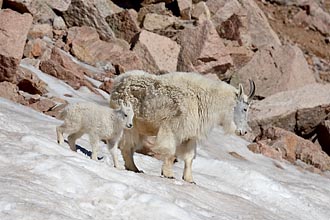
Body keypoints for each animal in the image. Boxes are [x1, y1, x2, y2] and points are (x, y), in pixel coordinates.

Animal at [111, 70, 255, 182]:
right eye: (245, 109)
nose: (244, 132)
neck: (205, 99)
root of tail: (117, 83)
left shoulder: (190, 135)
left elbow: (189, 157)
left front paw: (189, 179)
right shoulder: (172, 129)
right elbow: (170, 152)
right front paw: (168, 174)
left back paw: (134, 168)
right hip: (129, 124)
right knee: (126, 146)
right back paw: (134, 168)